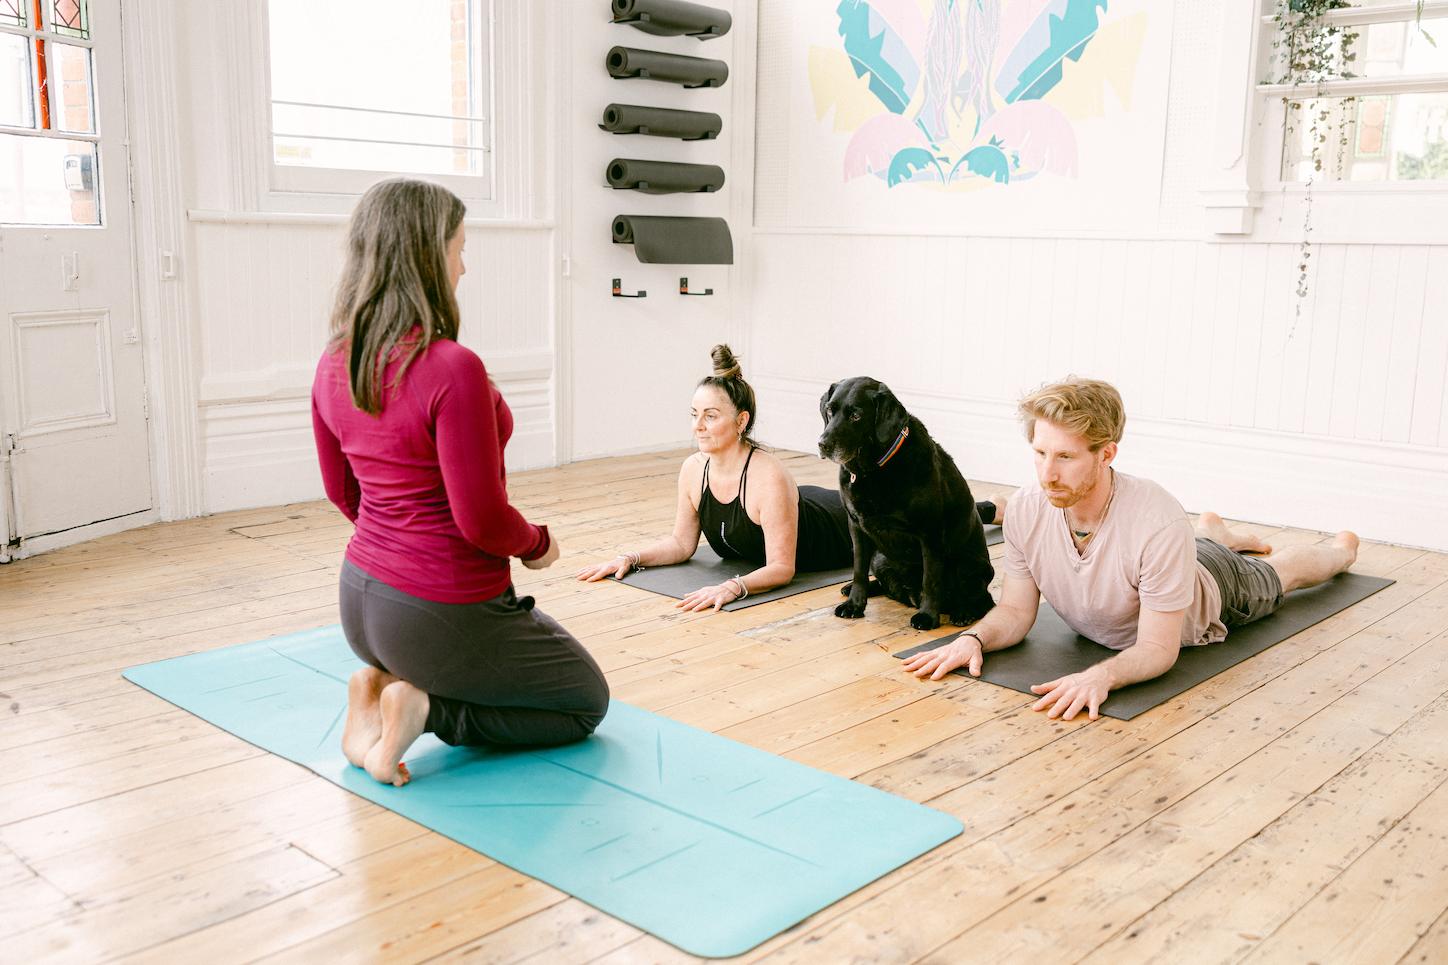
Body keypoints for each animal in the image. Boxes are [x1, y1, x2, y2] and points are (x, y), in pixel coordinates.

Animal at [822, 376, 990, 631]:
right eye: (830, 410)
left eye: (856, 415)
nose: (822, 444)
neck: (874, 471)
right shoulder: (856, 527)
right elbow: (858, 570)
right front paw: (854, 604)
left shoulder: (929, 532)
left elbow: (931, 579)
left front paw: (928, 617)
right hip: (880, 557)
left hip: (967, 563)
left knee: (983, 600)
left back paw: (964, 612)